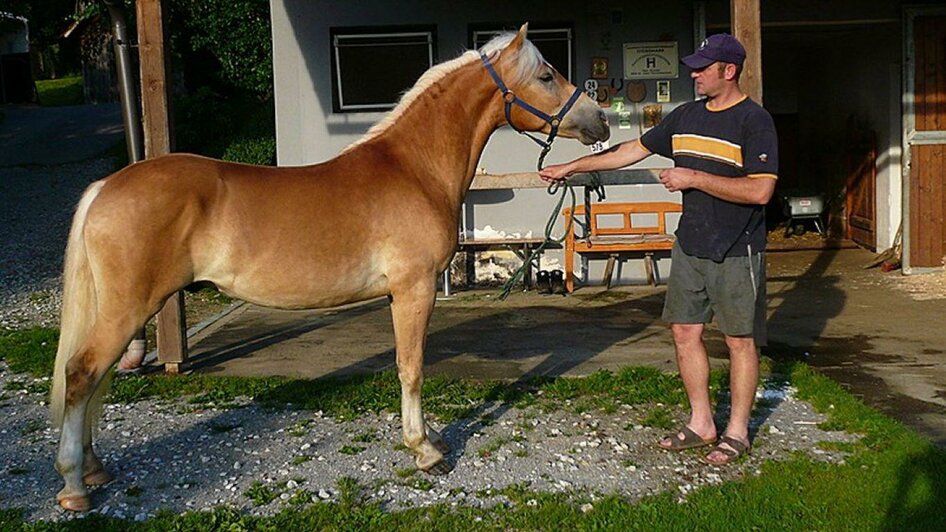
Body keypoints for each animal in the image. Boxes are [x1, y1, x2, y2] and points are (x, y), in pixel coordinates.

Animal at [48, 25, 608, 512]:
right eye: (546, 75)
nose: (599, 121)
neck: (414, 168)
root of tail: (108, 186)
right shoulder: (414, 290)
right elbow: (412, 367)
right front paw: (425, 450)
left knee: (94, 379)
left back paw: (95, 469)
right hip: (127, 307)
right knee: (81, 375)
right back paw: (75, 485)